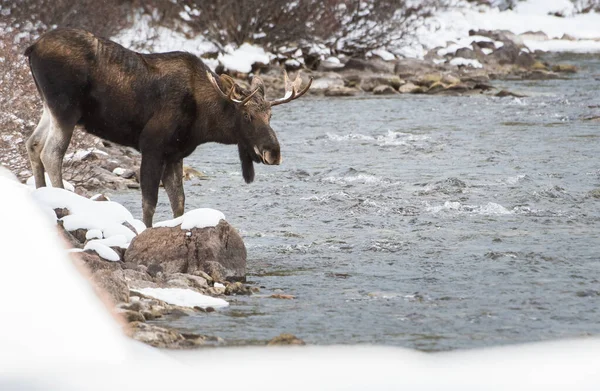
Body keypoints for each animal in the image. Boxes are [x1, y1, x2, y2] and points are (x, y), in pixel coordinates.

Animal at [25, 28, 312, 227]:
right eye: (247, 115)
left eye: (271, 115)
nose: (273, 152)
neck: (204, 121)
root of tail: (31, 47)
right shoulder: (152, 147)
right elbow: (149, 203)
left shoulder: (175, 155)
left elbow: (179, 203)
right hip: (66, 109)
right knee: (51, 153)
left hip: (48, 107)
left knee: (33, 143)